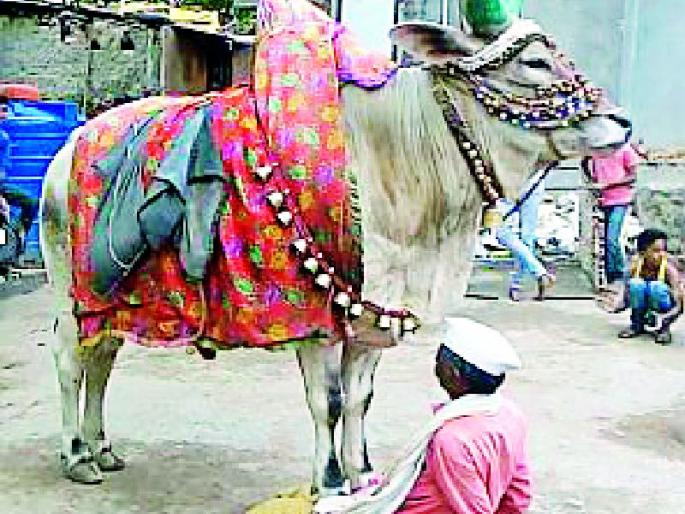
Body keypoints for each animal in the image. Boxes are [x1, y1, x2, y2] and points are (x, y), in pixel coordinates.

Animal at [39, 13, 630, 498]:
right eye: (534, 61)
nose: (622, 122)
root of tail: (72, 142)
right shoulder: (317, 321)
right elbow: (330, 402)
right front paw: (328, 482)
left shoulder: (374, 317)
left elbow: (361, 397)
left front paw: (361, 473)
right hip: (70, 293)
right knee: (70, 361)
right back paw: (76, 453)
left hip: (116, 306)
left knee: (103, 360)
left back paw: (102, 447)